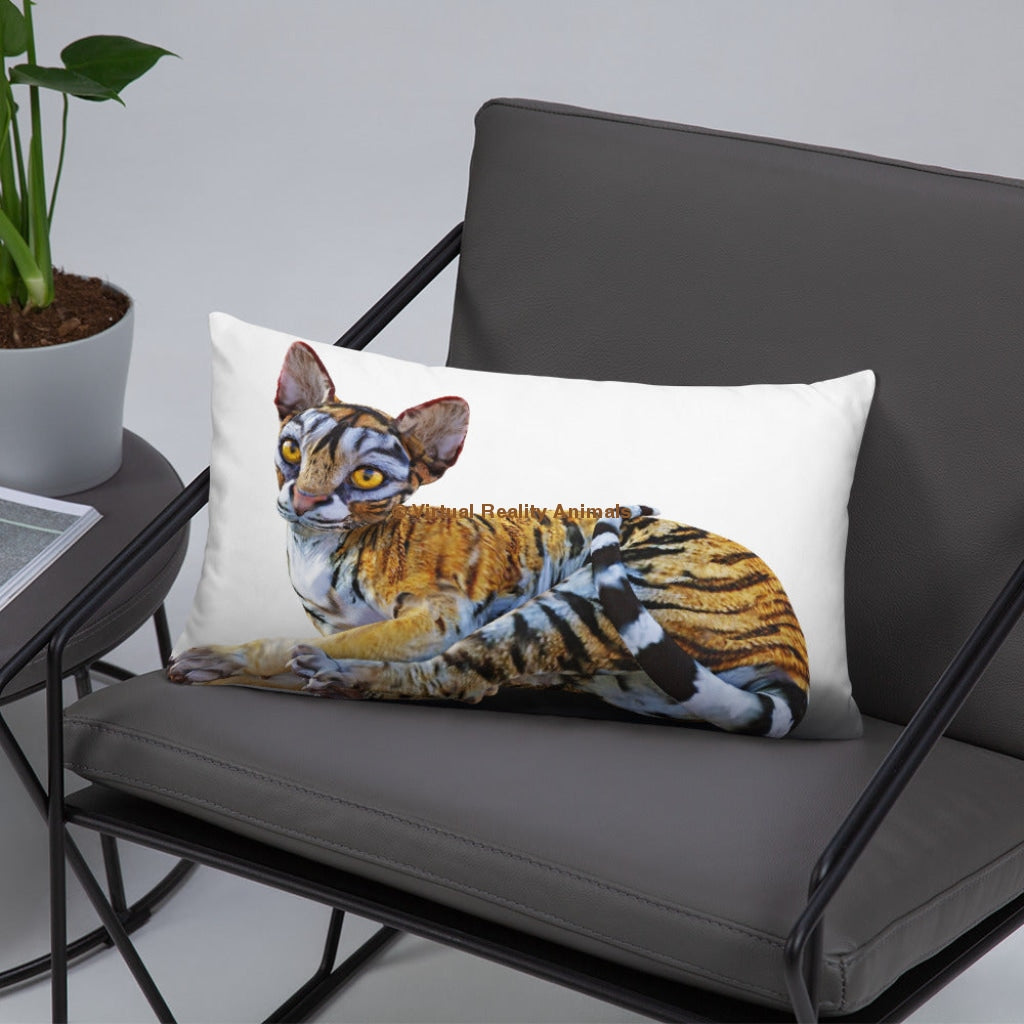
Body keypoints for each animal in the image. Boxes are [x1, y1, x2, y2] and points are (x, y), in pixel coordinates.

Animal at [168, 341, 809, 737]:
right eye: (291, 449)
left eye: (367, 476)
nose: (302, 501)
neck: (315, 550)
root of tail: (795, 657)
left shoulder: (438, 615)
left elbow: (333, 641)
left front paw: (233, 657)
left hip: (584, 600)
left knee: (458, 678)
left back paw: (344, 677)